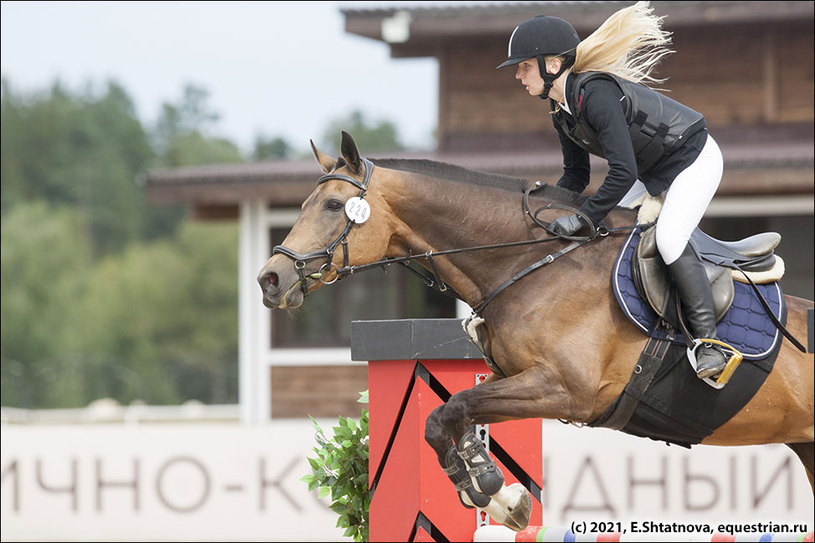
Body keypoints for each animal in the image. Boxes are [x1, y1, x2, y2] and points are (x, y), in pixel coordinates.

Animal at [258, 131, 812, 532]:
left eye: (333, 207)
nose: (270, 279)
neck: (530, 261)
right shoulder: (517, 381)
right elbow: (448, 414)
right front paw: (495, 494)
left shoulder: (566, 390)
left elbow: (453, 409)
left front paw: (492, 490)